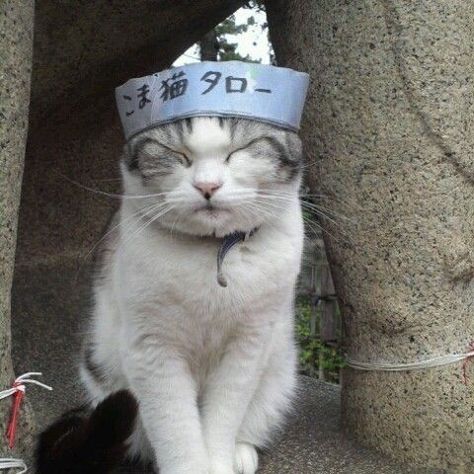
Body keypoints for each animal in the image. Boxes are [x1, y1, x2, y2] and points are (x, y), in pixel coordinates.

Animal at [37, 115, 304, 474]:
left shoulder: (249, 344)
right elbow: (176, 431)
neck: (213, 253)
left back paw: (241, 452)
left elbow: (224, 417)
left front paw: (220, 463)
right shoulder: (153, 350)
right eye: (177, 153)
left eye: (238, 150)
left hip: (278, 370)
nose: (208, 186)